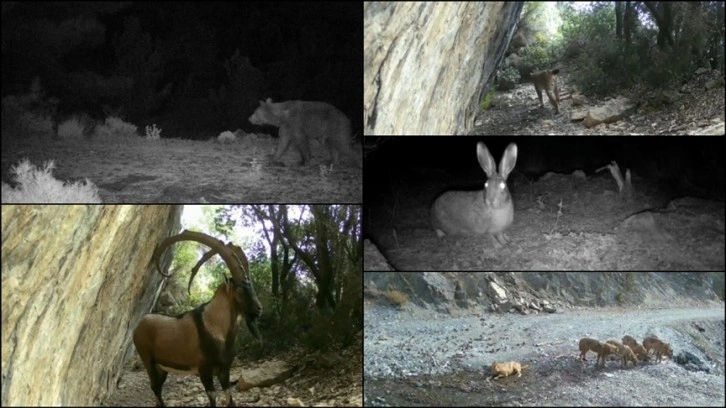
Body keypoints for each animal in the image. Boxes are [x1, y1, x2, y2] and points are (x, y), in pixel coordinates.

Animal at [134, 231, 264, 406]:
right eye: (240, 290)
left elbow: (229, 398)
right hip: (148, 361)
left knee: (157, 388)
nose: (259, 309)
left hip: (162, 368)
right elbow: (212, 399)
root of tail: (138, 326)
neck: (215, 327)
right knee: (155, 387)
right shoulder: (204, 371)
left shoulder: (224, 370)